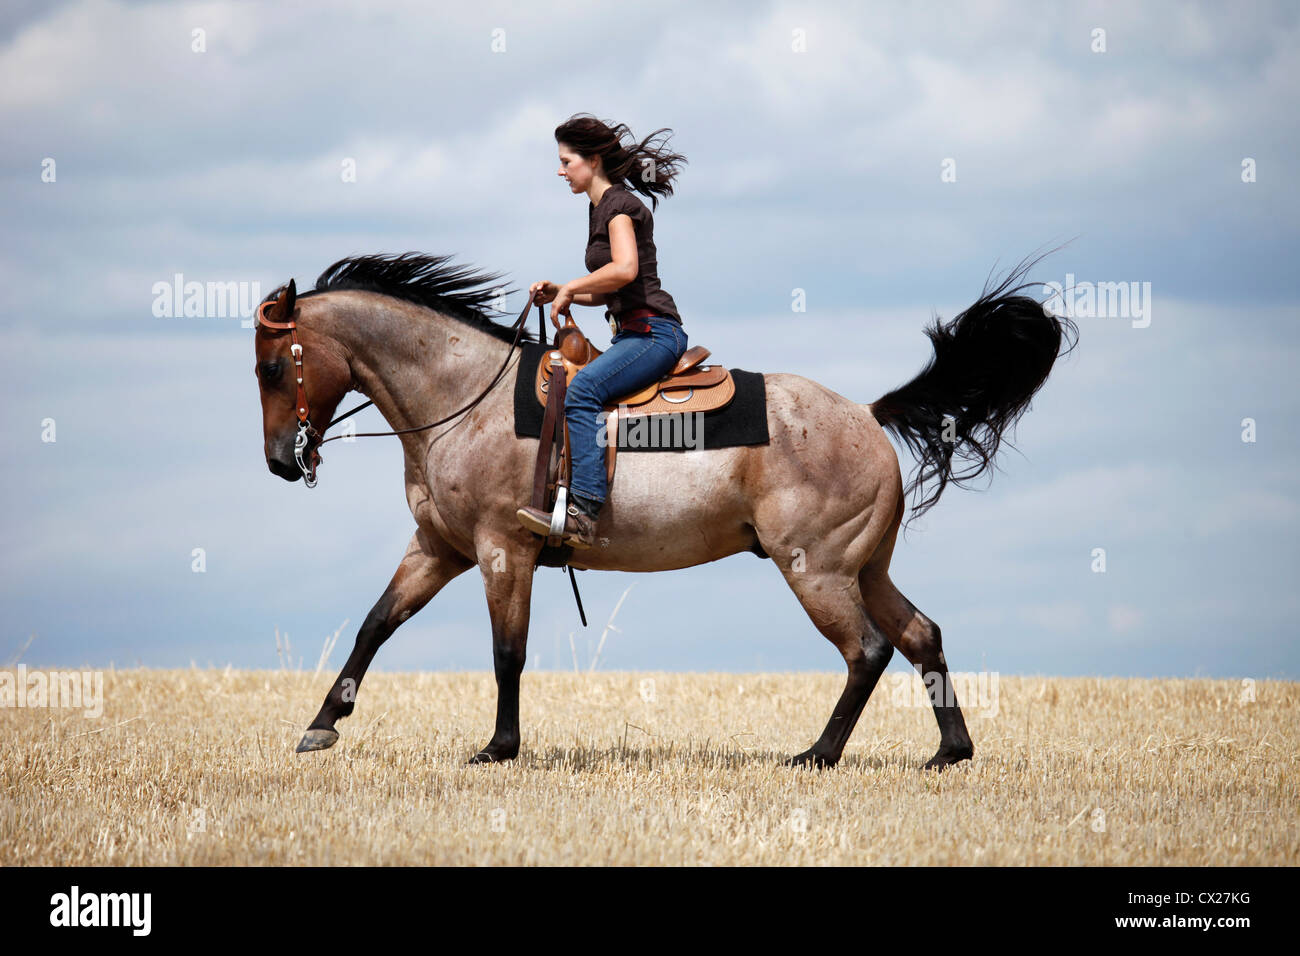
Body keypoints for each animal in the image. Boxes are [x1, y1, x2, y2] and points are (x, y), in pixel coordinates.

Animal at [253, 251, 1076, 764]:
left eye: (271, 368)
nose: (280, 463)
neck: (463, 398)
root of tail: (868, 415)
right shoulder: (437, 548)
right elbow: (373, 626)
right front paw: (321, 727)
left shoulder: (501, 551)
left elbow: (507, 652)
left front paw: (499, 748)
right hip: (864, 567)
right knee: (920, 635)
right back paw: (949, 752)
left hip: (816, 569)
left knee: (867, 650)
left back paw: (818, 755)